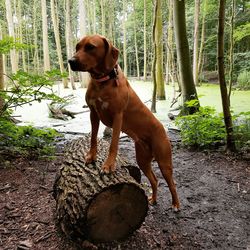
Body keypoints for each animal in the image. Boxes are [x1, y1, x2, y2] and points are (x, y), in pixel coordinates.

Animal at [68, 34, 180, 210]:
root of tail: (163, 128)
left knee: (172, 183)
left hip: (164, 160)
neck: (103, 81)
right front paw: (91, 156)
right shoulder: (93, 113)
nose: (70, 61)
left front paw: (108, 165)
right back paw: (153, 199)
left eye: (90, 47)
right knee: (154, 180)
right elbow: (93, 138)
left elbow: (113, 143)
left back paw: (176, 204)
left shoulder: (117, 116)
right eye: (77, 47)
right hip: (142, 159)